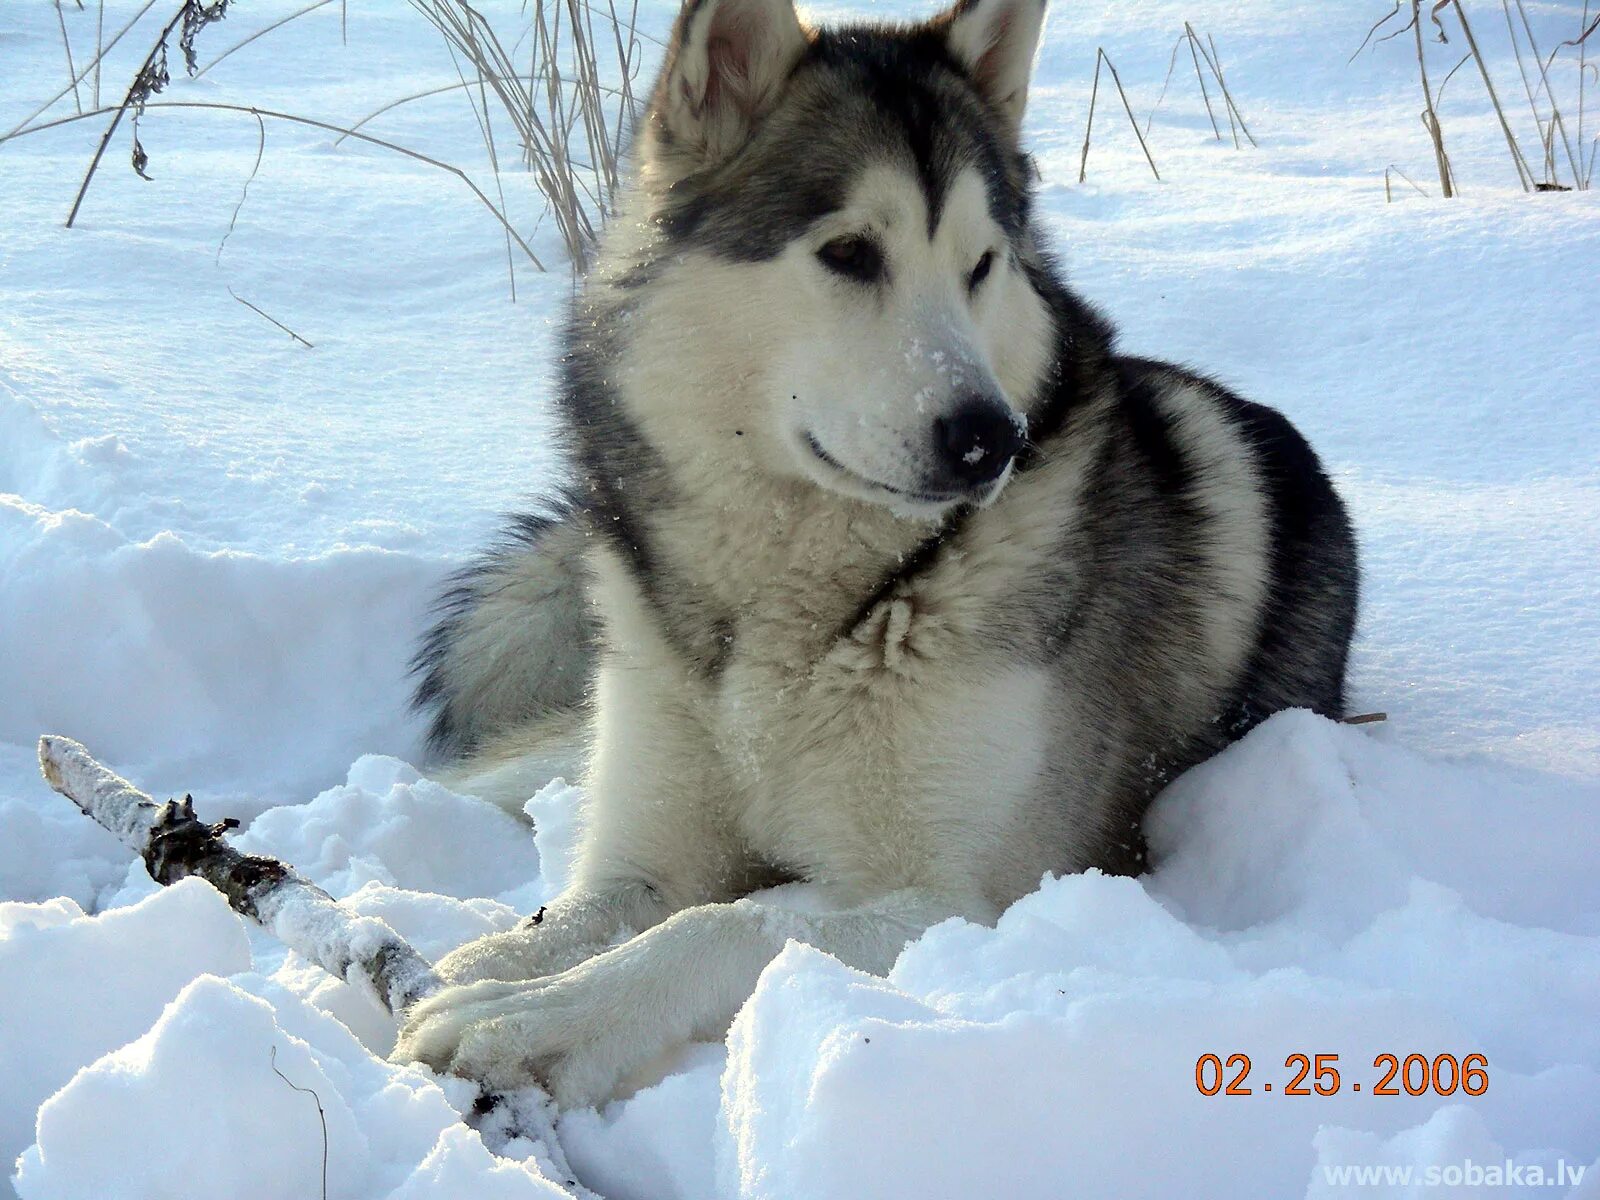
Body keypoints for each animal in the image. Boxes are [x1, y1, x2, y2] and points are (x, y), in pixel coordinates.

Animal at [393, 0, 1356, 1113]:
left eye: (982, 264)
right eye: (850, 252)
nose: (991, 438)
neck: (802, 622)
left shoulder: (961, 902)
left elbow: (724, 923)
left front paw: (534, 1022)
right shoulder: (648, 850)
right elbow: (584, 911)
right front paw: (491, 966)